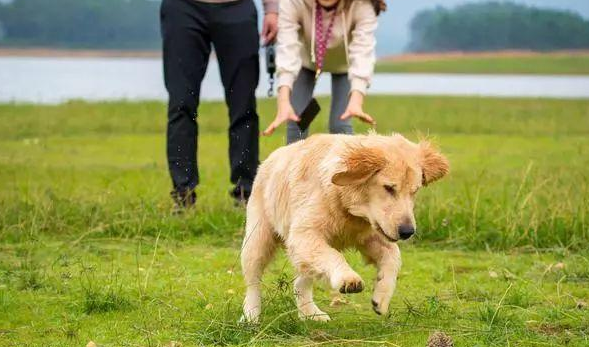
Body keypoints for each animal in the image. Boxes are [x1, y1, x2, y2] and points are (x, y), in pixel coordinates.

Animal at [241, 133, 448, 324]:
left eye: (415, 191)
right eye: (389, 188)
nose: (407, 232)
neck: (349, 209)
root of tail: (272, 157)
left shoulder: (370, 235)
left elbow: (393, 256)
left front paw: (381, 298)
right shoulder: (304, 235)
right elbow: (334, 255)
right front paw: (348, 279)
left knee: (301, 281)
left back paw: (310, 314)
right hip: (258, 240)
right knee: (253, 281)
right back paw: (251, 315)